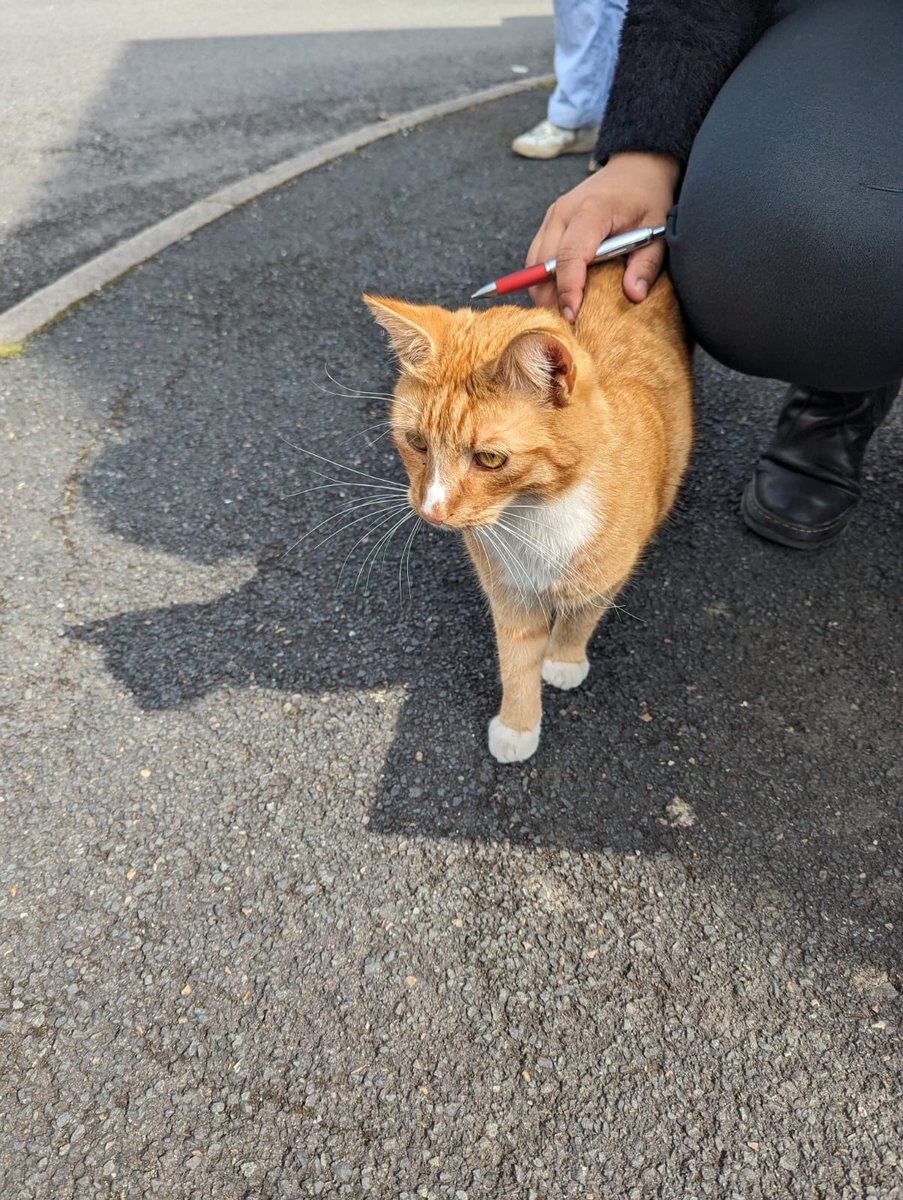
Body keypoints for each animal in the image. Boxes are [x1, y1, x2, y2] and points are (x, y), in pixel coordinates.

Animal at [362, 266, 696, 763]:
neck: (535, 511)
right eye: (417, 443)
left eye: (490, 459)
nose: (433, 512)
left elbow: (579, 618)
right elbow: (516, 659)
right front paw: (518, 726)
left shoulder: (603, 578)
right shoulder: (509, 591)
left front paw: (563, 660)